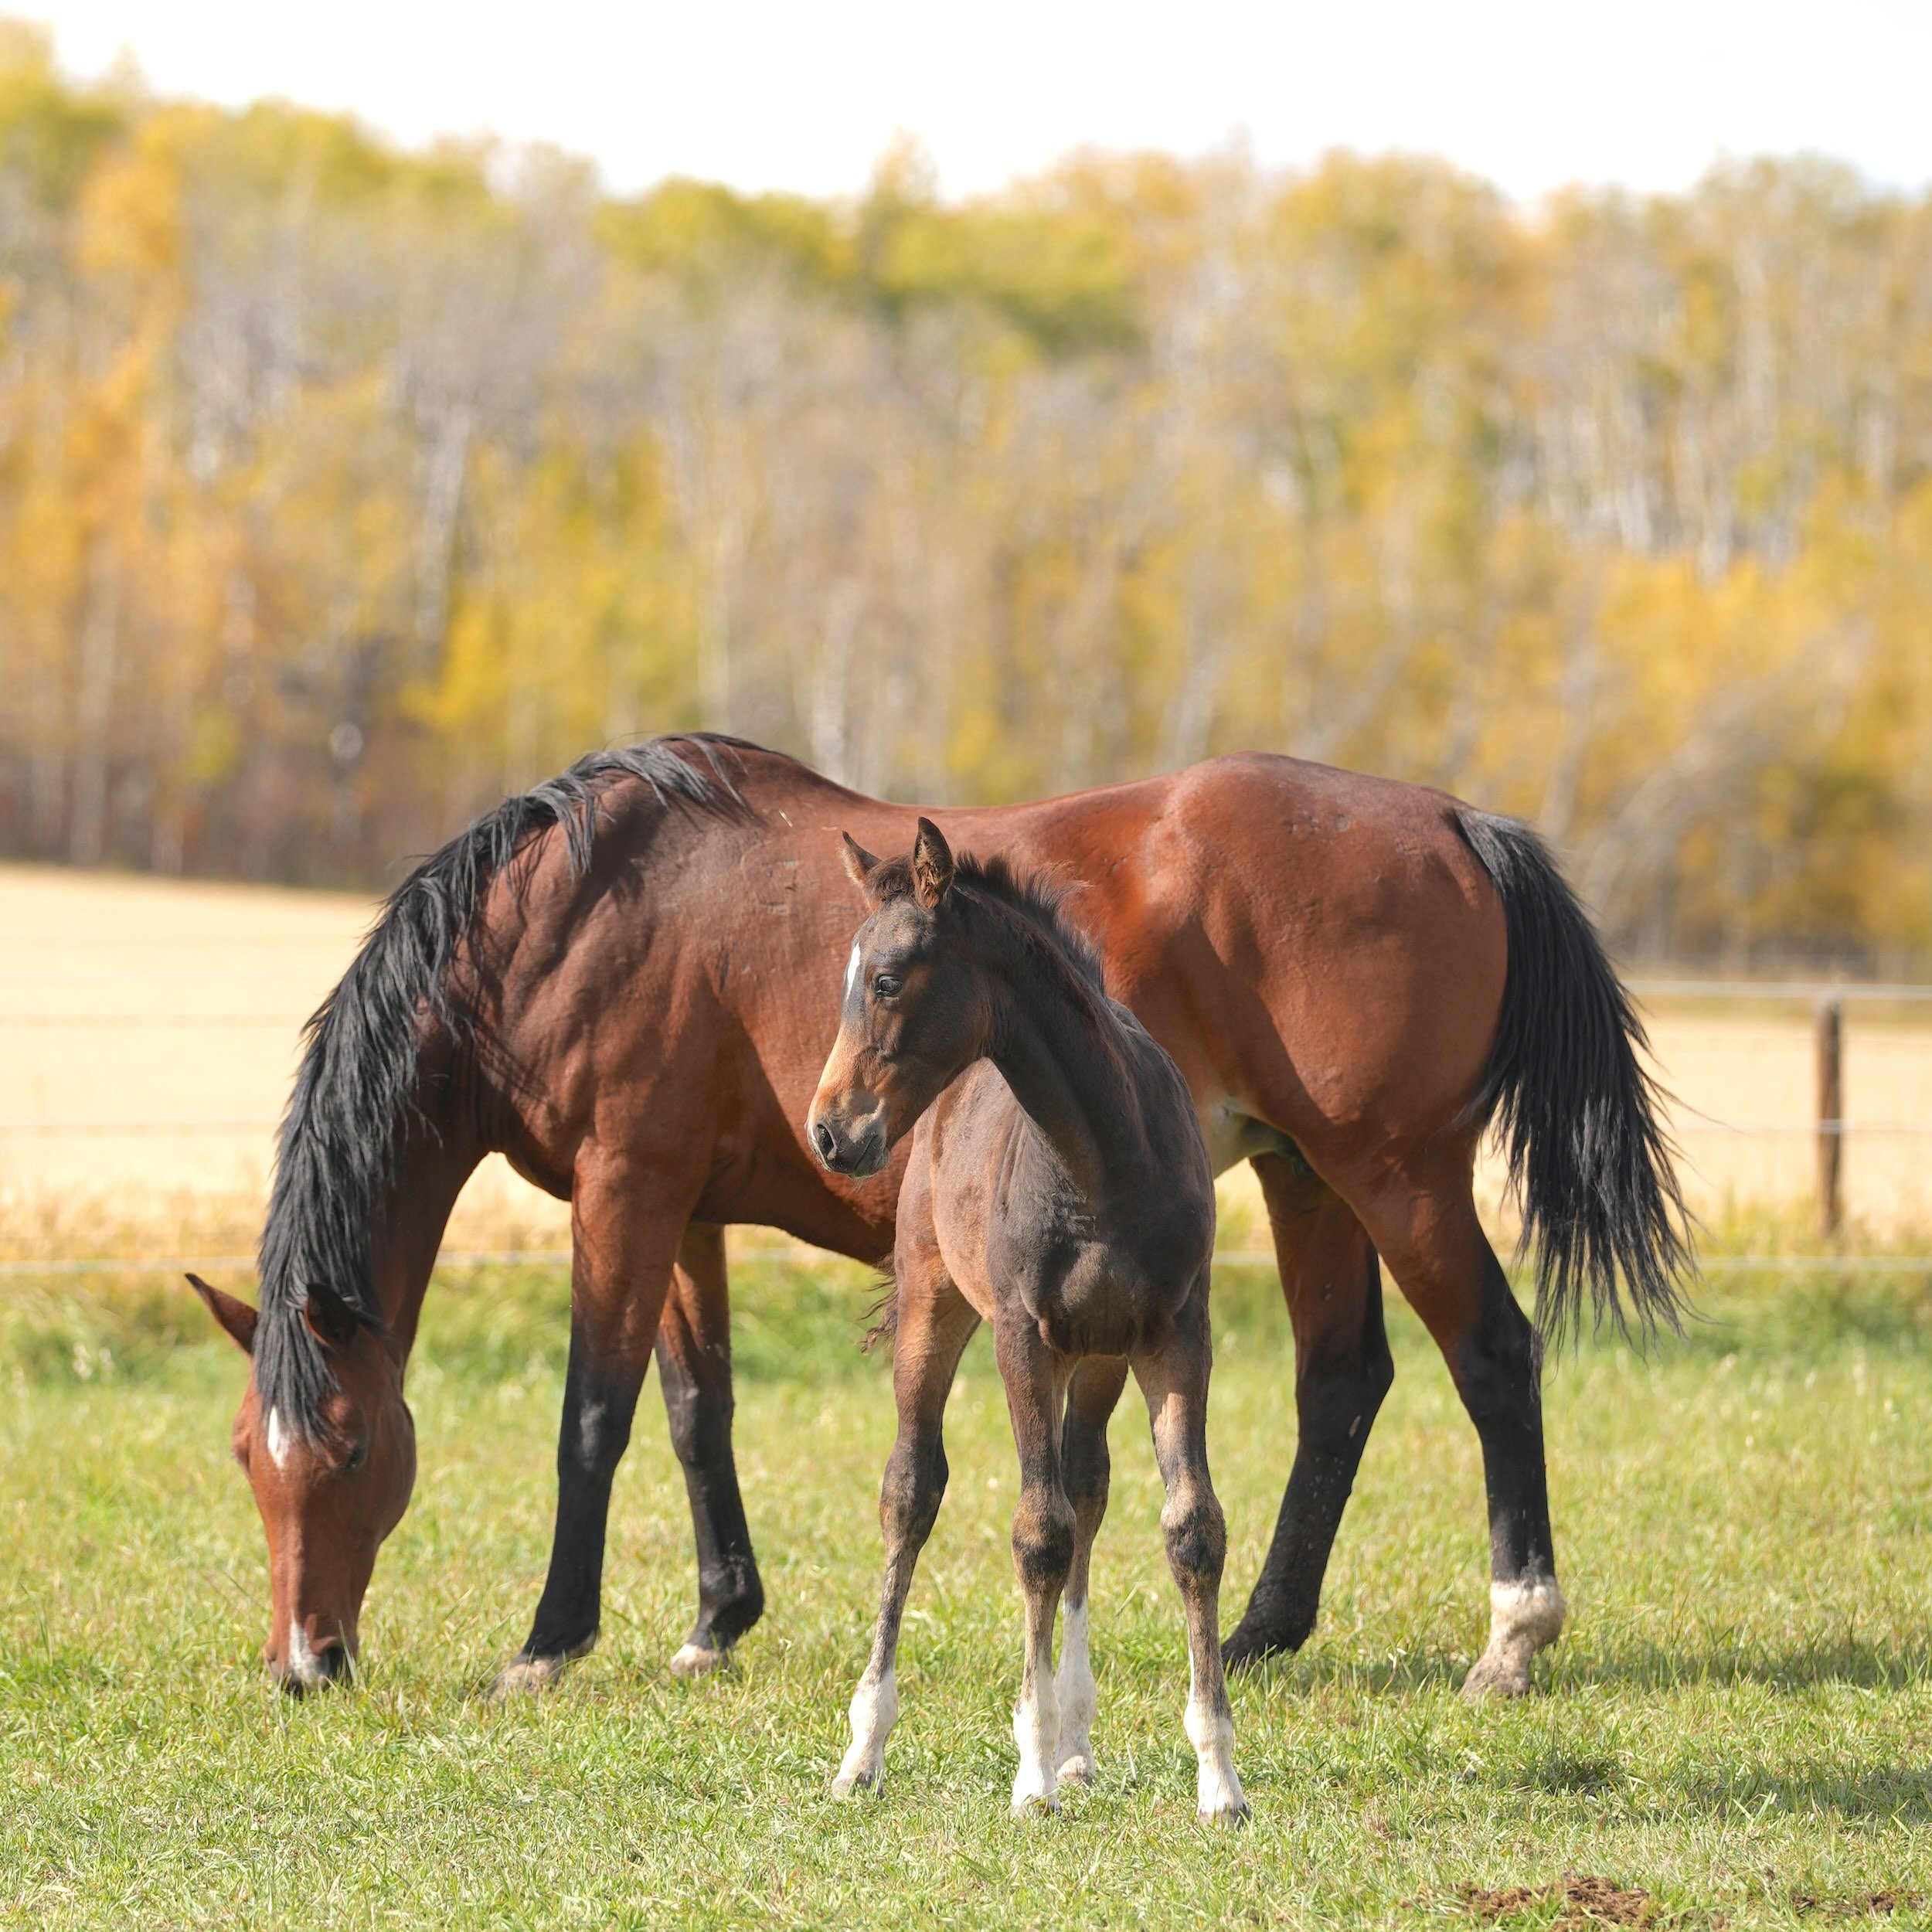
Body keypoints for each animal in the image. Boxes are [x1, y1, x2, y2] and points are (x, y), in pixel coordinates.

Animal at [184, 734, 1686, 1696]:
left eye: (350, 1445)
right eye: (248, 1459)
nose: (304, 1665)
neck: (572, 914)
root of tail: (1447, 820)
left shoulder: (625, 1190)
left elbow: (593, 1419)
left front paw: (551, 1643)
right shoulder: (684, 1213)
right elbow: (696, 1412)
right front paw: (718, 1620)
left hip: (1396, 1172)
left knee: (1492, 1358)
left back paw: (1512, 1635)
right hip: (1307, 1175)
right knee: (1342, 1384)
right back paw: (1262, 1631)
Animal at [810, 821, 1243, 1819]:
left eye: (885, 979)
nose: (829, 1132)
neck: (1106, 1155)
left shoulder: (1177, 1333)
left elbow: (1190, 1527)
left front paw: (1219, 1777)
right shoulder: (1022, 1338)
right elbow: (1035, 1534)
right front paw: (1031, 1771)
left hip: (1101, 1357)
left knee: (1086, 1484)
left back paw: (1079, 1740)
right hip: (934, 1305)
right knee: (910, 1491)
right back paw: (865, 1750)